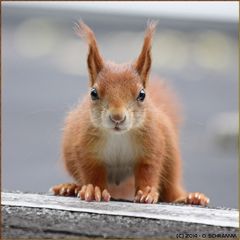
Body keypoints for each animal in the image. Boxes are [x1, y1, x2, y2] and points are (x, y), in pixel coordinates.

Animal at [51, 20, 210, 205]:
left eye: (142, 94)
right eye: (93, 93)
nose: (117, 117)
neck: (118, 136)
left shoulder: (152, 143)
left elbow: (149, 169)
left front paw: (147, 192)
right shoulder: (85, 146)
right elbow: (91, 171)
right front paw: (94, 188)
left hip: (171, 158)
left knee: (171, 190)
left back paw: (190, 197)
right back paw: (70, 187)